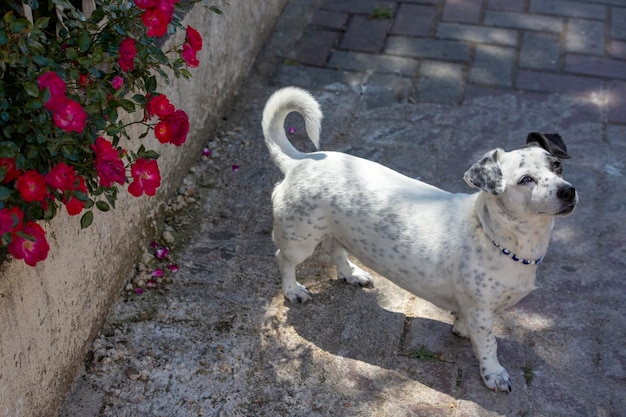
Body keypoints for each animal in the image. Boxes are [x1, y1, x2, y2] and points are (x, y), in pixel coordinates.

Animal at [260, 86, 576, 392]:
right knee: (282, 259)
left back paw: (351, 274)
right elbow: (489, 344)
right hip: (299, 240)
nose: (568, 191)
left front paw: (462, 330)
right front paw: (494, 374)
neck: (494, 236)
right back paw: (293, 290)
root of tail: (299, 161)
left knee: (334, 248)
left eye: (557, 166)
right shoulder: (482, 311)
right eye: (525, 180)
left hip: (335, 229)